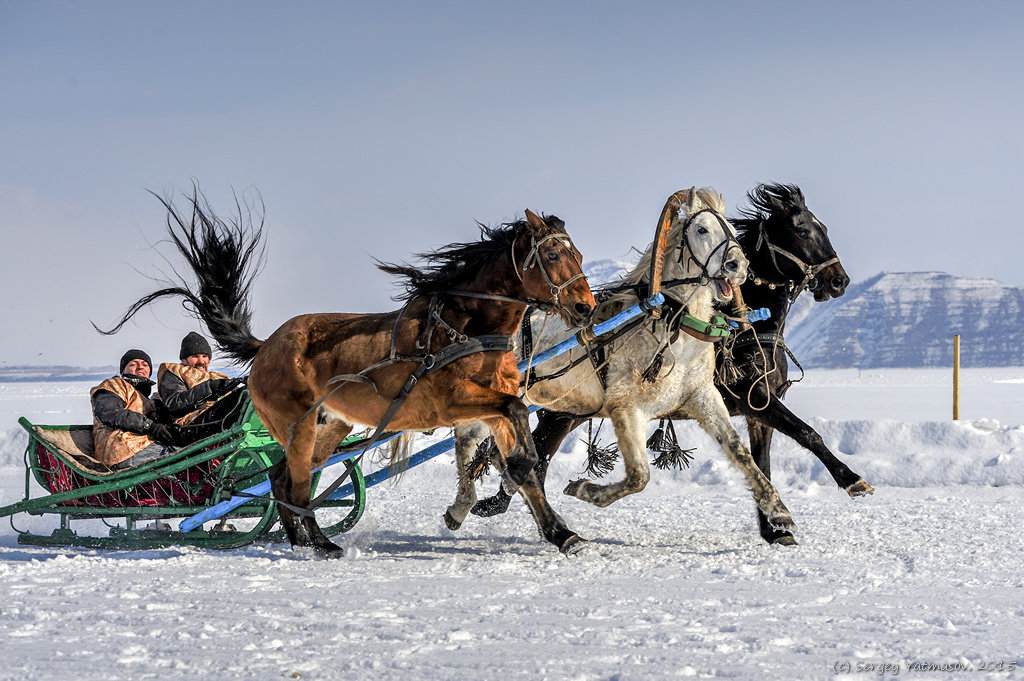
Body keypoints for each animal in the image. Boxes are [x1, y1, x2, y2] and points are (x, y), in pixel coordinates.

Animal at [99, 187, 598, 557]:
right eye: (553, 256)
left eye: (577, 253)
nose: (585, 308)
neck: (465, 326)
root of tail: (266, 347)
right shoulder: (453, 402)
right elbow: (518, 430)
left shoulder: (491, 407)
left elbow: (523, 456)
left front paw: (561, 533)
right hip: (297, 426)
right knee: (294, 483)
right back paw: (319, 544)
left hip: (329, 426)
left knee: (282, 478)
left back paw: (303, 541)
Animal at [471, 183, 872, 544]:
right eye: (803, 231)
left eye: (824, 229)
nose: (839, 281)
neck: (744, 327)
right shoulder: (750, 397)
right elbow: (807, 433)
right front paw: (851, 480)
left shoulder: (744, 405)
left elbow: (756, 458)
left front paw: (774, 524)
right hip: (557, 411)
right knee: (532, 460)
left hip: (564, 412)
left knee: (536, 460)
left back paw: (506, 508)